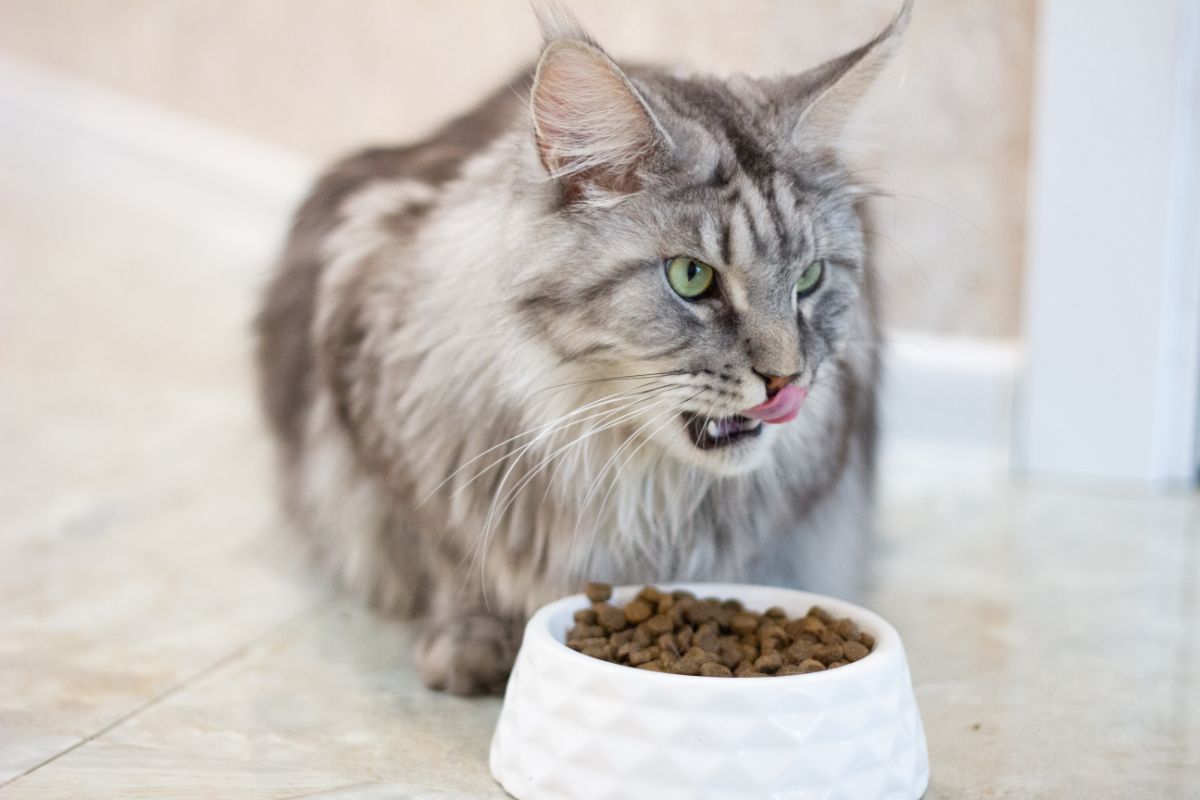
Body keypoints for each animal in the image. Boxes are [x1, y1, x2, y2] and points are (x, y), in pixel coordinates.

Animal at [255, 1, 907, 695]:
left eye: (809, 278)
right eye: (691, 277)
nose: (788, 380)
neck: (622, 470)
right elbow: (455, 558)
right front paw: (469, 642)